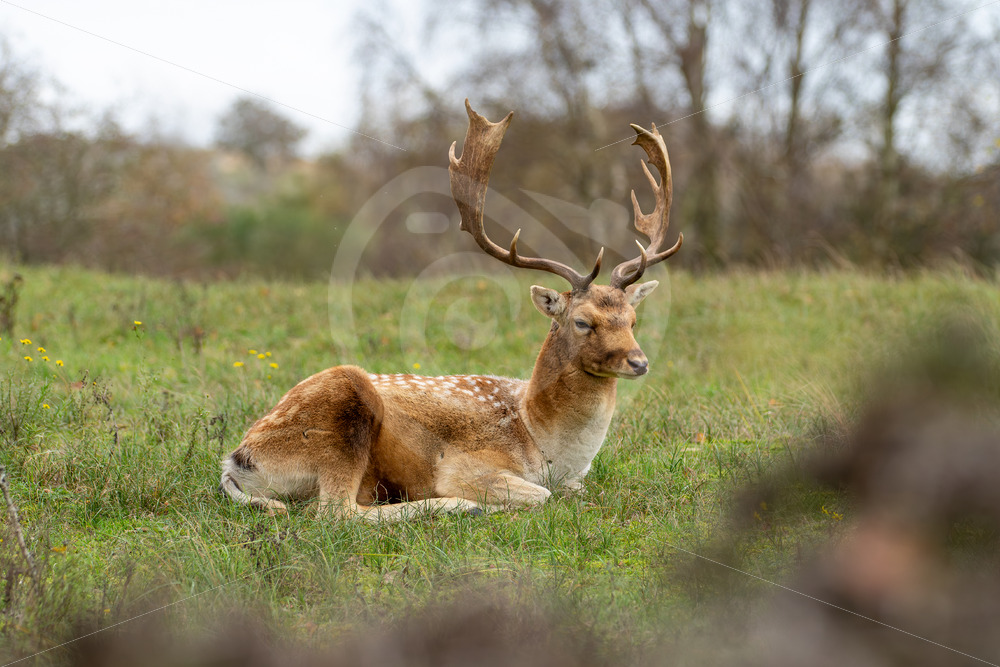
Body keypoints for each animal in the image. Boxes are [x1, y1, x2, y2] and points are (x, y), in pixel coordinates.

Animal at [219, 100, 682, 521]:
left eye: (633, 319)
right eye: (583, 321)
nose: (639, 362)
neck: (542, 442)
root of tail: (236, 461)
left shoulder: (575, 479)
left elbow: (573, 491)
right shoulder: (467, 465)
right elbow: (540, 496)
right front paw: (478, 501)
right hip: (342, 416)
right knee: (337, 512)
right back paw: (458, 506)